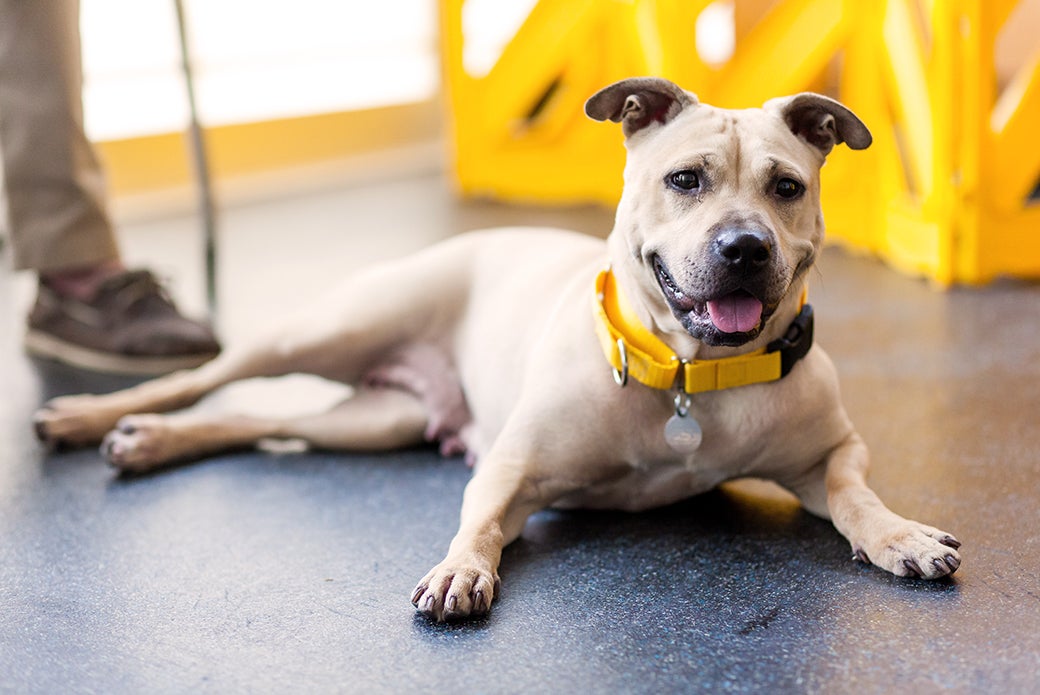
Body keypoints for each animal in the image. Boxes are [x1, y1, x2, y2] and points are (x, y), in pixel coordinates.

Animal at [32, 77, 961, 622]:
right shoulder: (514, 470)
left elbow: (856, 496)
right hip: (329, 328)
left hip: (377, 421)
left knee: (261, 425)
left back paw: (151, 444)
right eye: (686, 179)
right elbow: (479, 522)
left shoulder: (830, 452)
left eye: (786, 186)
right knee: (209, 378)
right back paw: (92, 417)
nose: (744, 247)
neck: (690, 375)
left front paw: (899, 535)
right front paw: (458, 570)